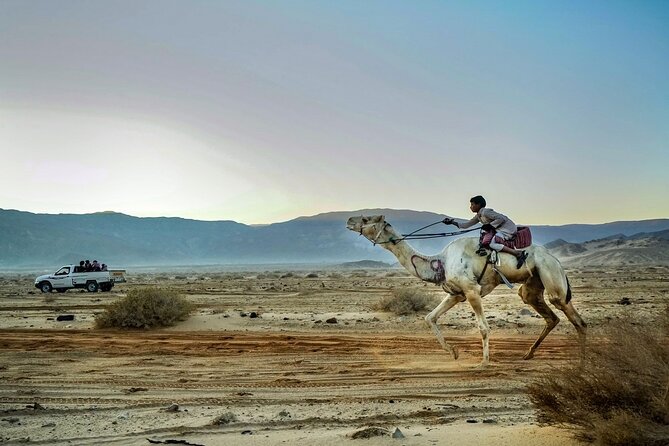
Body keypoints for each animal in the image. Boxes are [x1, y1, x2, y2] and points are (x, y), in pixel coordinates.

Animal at [346, 215, 586, 366]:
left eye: (366, 219)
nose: (349, 221)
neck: (440, 261)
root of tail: (555, 260)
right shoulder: (456, 294)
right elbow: (430, 317)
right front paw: (454, 352)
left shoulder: (472, 290)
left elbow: (483, 327)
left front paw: (484, 362)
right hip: (532, 286)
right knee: (549, 316)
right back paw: (528, 354)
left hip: (551, 276)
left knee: (575, 318)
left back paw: (583, 360)